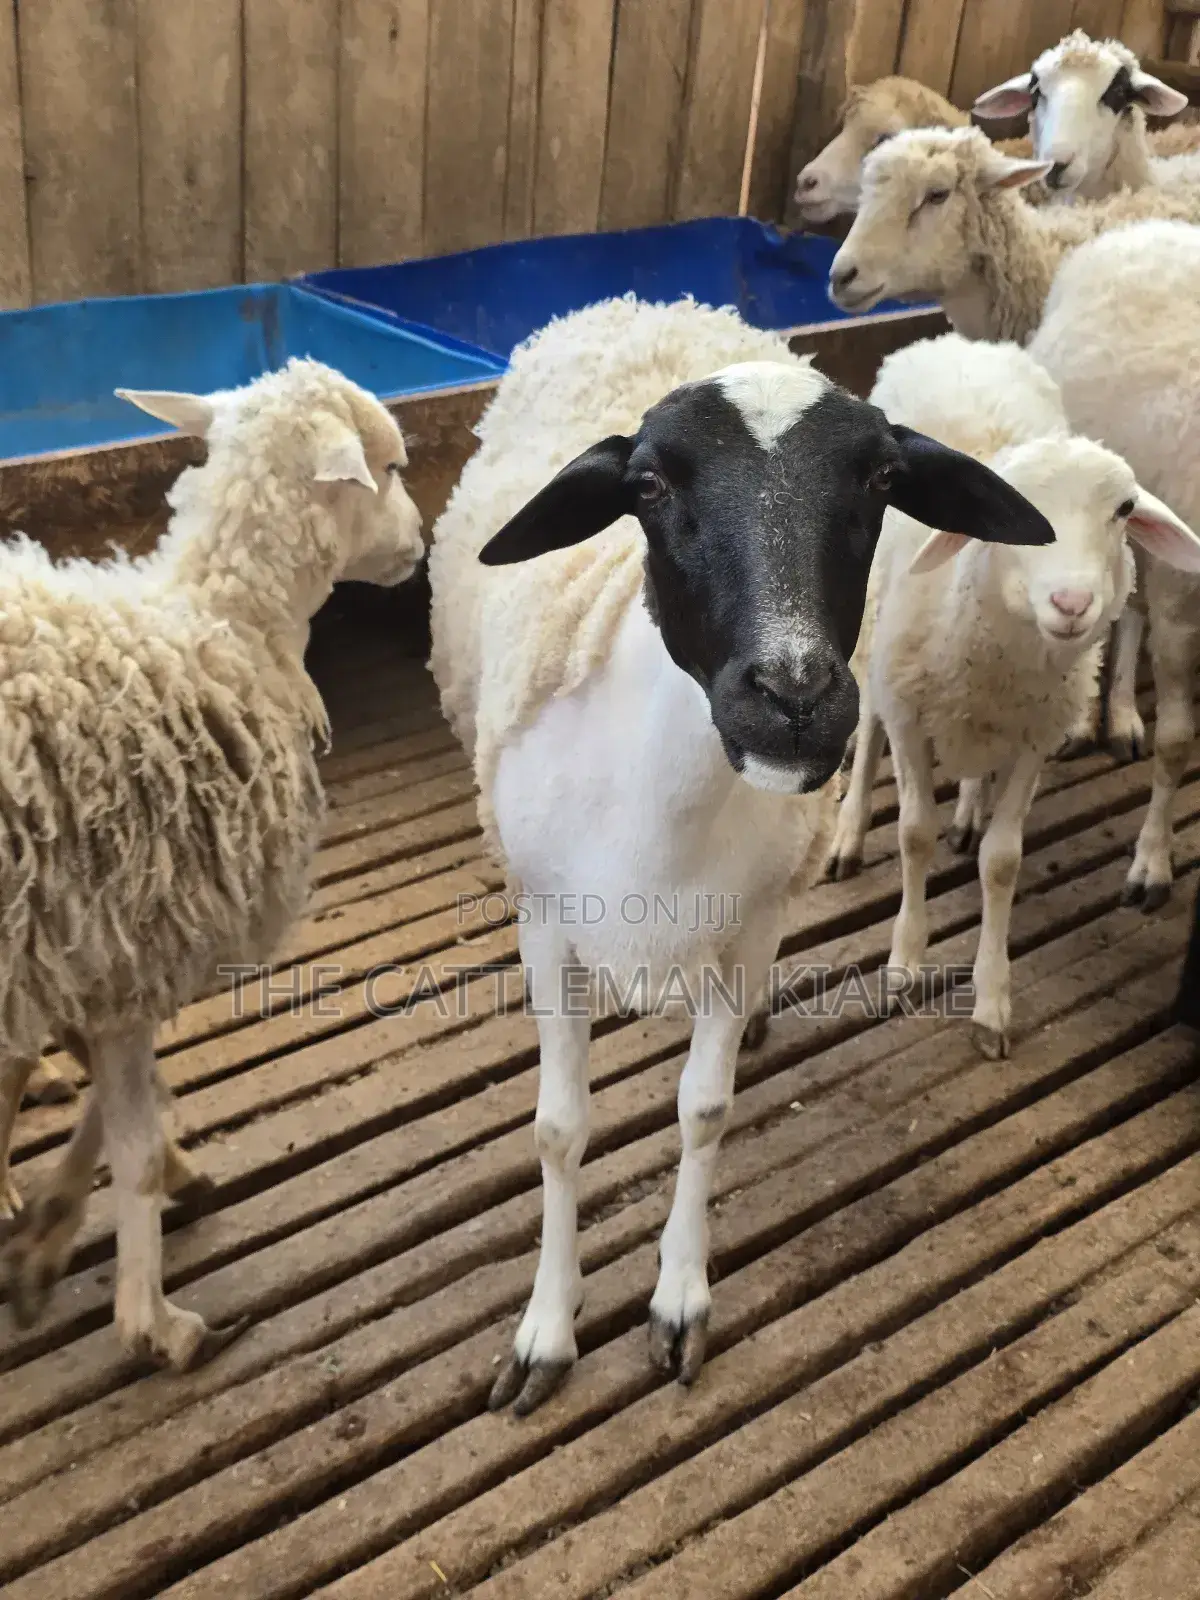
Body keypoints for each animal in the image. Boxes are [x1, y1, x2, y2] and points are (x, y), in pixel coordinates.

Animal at [0, 357, 424, 1370]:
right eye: (389, 468)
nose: (422, 542)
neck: (225, 625)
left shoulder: (86, 941)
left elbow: (124, 1100)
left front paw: (52, 1232)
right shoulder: (131, 940)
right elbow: (130, 1133)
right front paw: (149, 1317)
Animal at [427, 293, 1059, 1413]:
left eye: (883, 480)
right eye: (647, 484)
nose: (795, 694)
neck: (663, 805)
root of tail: (657, 302)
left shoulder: (742, 920)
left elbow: (705, 1108)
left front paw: (680, 1300)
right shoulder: (547, 922)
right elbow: (557, 1127)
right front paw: (545, 1328)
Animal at [825, 332, 1200, 1057]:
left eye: (1124, 510)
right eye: (1013, 511)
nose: (1073, 603)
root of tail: (953, 339)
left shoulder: (1035, 731)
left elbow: (1002, 861)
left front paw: (992, 1001)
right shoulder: (909, 709)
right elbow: (912, 832)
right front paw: (904, 962)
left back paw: (970, 805)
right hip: (875, 627)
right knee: (868, 720)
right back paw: (850, 829)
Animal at [1027, 220, 1200, 910]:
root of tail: (1142, 228)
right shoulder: (1184, 601)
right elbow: (1178, 743)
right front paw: (1152, 862)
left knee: (1127, 613)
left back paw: (1122, 714)